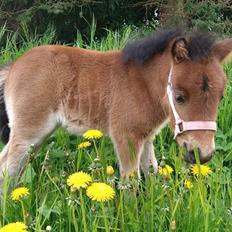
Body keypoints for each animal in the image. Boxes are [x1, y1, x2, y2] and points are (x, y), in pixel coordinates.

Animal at [0, 28, 231, 187]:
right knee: (9, 169)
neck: (142, 85)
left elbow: (152, 172)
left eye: (220, 98)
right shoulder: (125, 136)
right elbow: (130, 183)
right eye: (179, 97)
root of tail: (14, 66)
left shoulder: (146, 137)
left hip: (38, 136)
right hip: (29, 132)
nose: (202, 154)